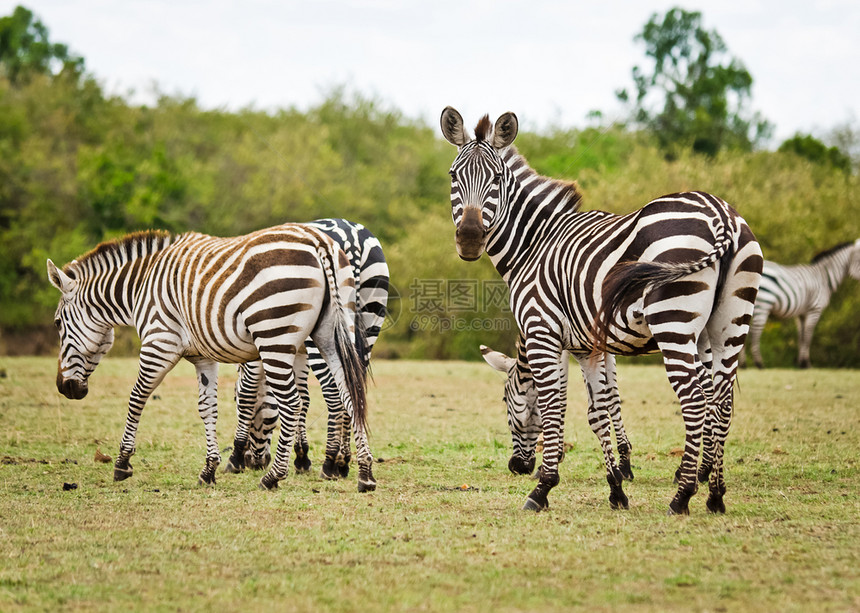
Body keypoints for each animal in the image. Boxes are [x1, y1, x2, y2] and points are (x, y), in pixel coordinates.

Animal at [46, 222, 376, 490]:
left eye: (58, 324)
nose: (64, 387)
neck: (140, 288)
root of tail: (318, 241)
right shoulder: (202, 357)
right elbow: (208, 408)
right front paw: (209, 470)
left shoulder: (159, 343)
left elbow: (136, 398)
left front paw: (122, 462)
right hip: (332, 334)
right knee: (351, 395)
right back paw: (364, 473)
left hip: (275, 336)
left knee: (293, 403)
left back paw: (273, 476)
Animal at [227, 218, 392, 480]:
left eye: (232, 400)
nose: (257, 462)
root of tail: (352, 237)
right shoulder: (295, 350)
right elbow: (303, 398)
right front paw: (301, 456)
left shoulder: (262, 344)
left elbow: (248, 393)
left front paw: (235, 457)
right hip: (370, 319)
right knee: (354, 390)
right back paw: (344, 462)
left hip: (324, 336)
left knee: (334, 394)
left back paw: (331, 462)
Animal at [440, 107, 764, 512]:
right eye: (453, 175)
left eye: (497, 179)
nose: (469, 239)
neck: (533, 245)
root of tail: (719, 211)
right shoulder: (587, 346)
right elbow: (598, 410)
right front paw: (616, 488)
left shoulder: (543, 332)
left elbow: (554, 404)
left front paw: (543, 487)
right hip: (727, 327)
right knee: (721, 402)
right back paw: (715, 495)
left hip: (673, 323)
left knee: (694, 401)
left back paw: (683, 495)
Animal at [744, 239, 856, 368]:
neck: (823, 278)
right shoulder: (815, 309)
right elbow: (808, 335)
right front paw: (806, 363)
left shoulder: (801, 313)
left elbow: (801, 336)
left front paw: (800, 363)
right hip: (763, 304)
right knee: (755, 332)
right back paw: (759, 363)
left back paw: (743, 364)